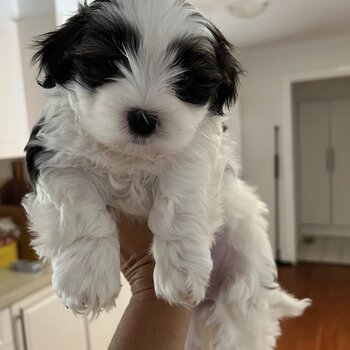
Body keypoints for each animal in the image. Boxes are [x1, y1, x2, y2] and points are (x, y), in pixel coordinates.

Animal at [23, 0, 310, 348]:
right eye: (109, 62)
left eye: (185, 79)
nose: (143, 118)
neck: (131, 156)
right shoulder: (54, 151)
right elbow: (79, 208)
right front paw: (87, 276)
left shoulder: (197, 151)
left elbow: (180, 197)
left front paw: (182, 269)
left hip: (243, 280)